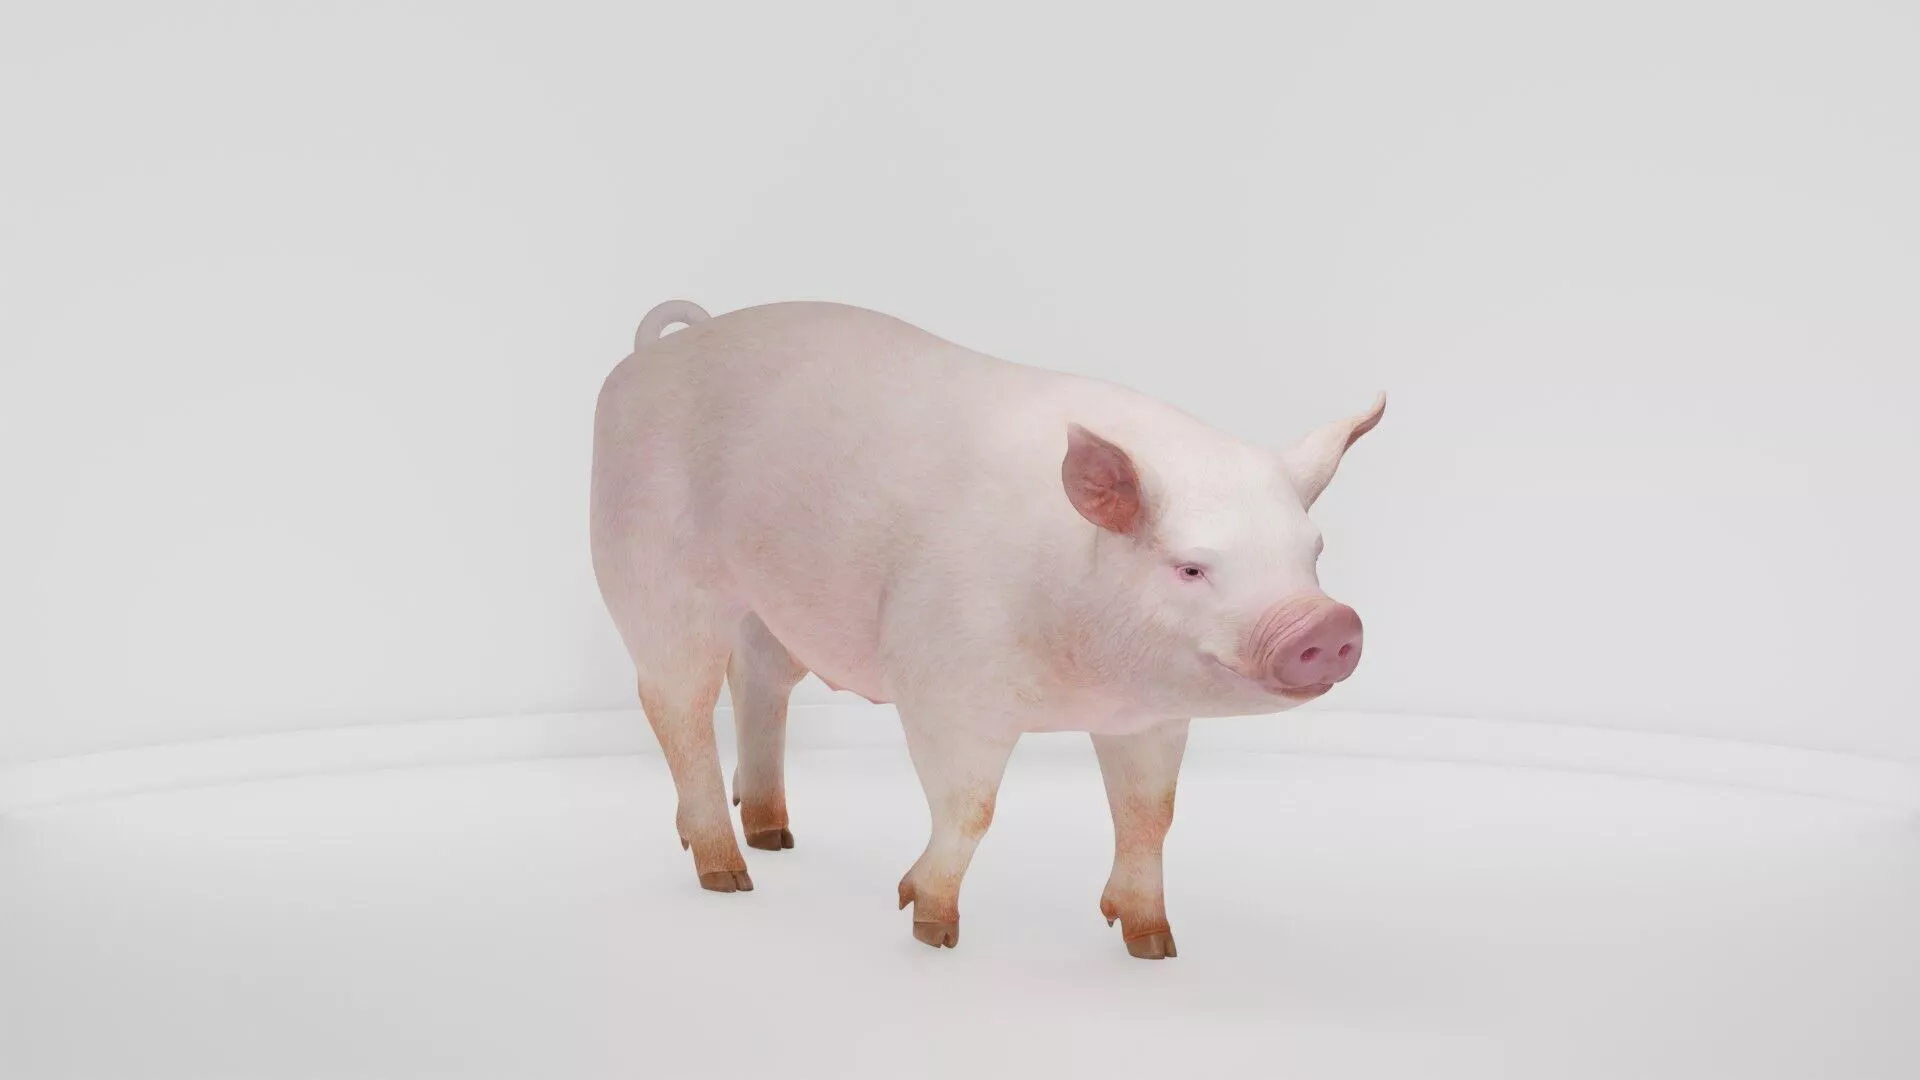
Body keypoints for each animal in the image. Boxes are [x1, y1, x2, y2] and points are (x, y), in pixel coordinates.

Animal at [590, 299, 1383, 959]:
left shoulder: (1151, 720)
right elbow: (970, 809)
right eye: (1190, 568)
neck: (1084, 684)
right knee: (675, 701)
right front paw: (931, 927)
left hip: (768, 604)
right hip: (651, 566)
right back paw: (728, 875)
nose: (1329, 621)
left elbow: (1149, 814)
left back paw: (774, 837)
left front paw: (1155, 947)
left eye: (1312, 553)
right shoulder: (944, 687)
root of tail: (656, 354)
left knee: (758, 679)